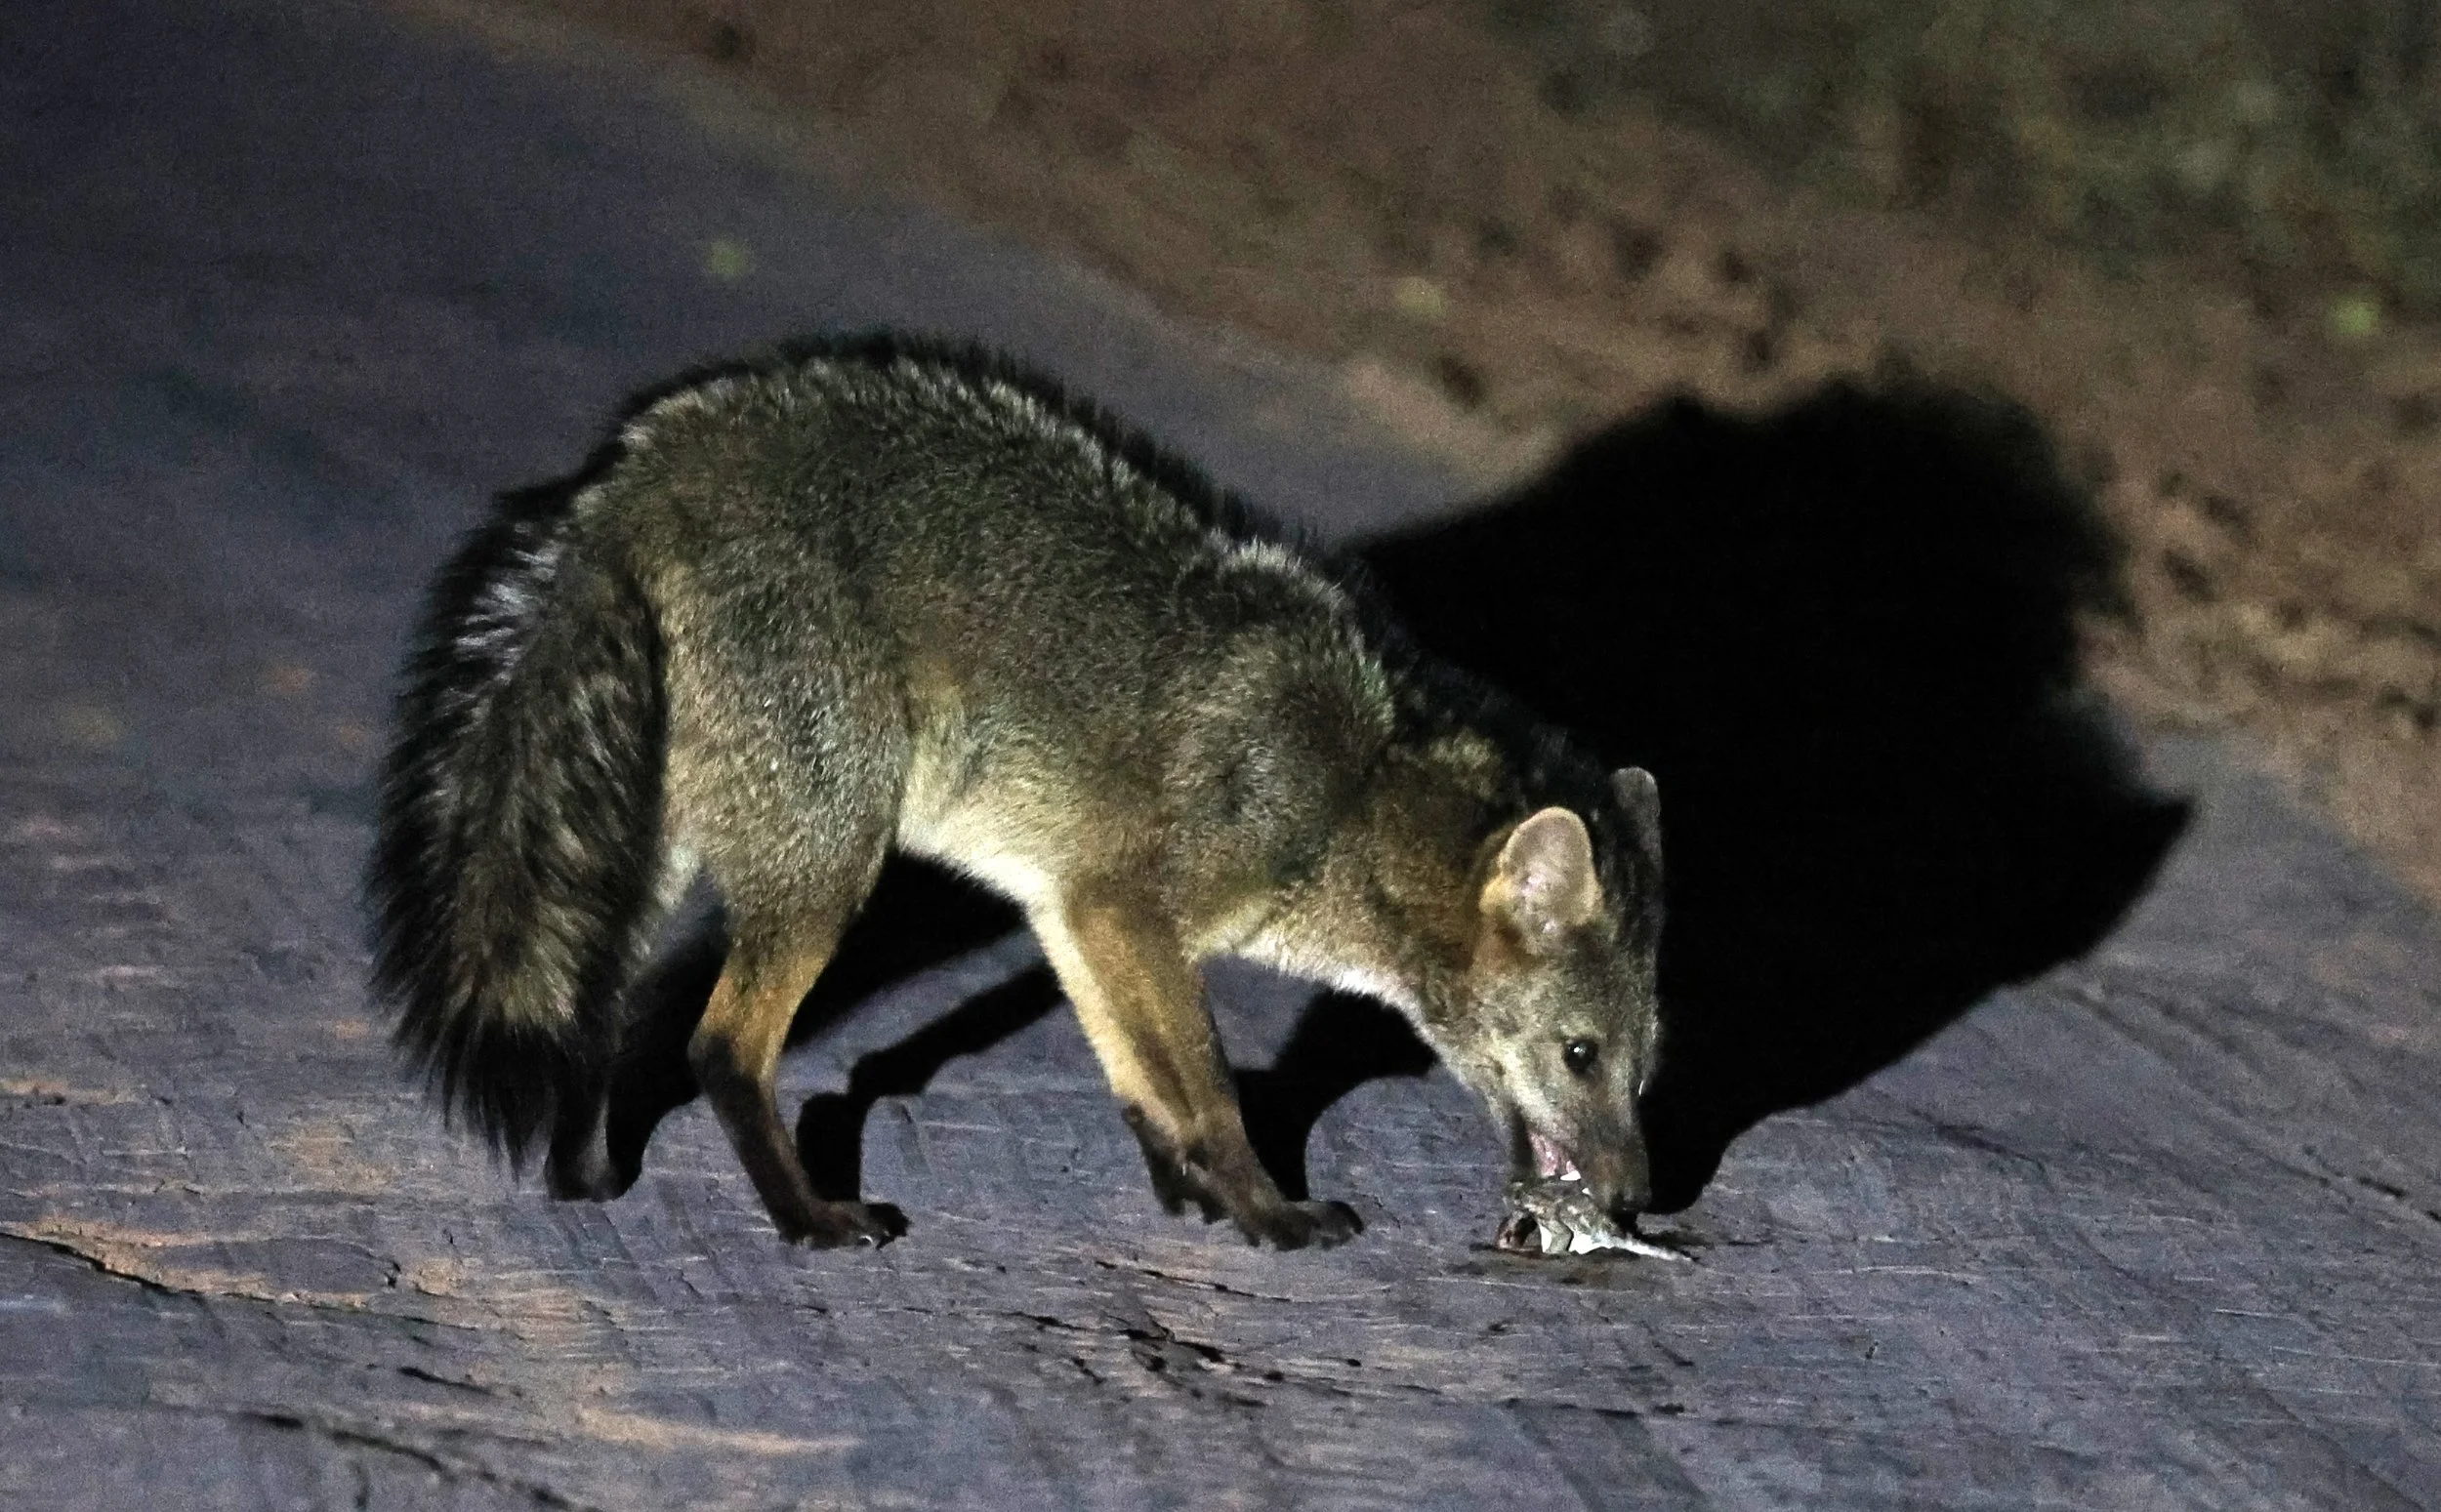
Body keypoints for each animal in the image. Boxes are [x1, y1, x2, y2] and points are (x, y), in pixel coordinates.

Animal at [366, 333, 1665, 1250]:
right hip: (833, 864)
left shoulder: (1071, 909)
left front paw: (1193, 1192)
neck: (1352, 790)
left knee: (605, 1015)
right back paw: (808, 1220)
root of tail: (654, 456)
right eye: (1582, 1055)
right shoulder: (1129, 910)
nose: (1637, 1198)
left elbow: (1143, 1082)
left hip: (652, 853)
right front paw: (1267, 1212)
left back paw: (588, 1174)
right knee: (719, 1047)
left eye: (1644, 1066)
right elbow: (1210, 1088)